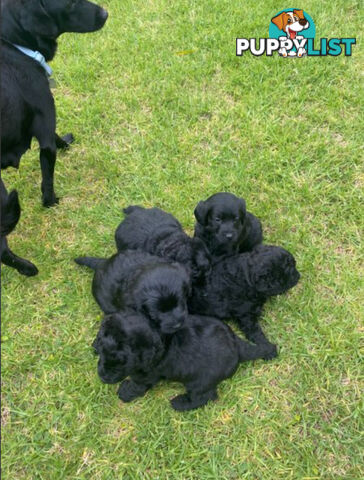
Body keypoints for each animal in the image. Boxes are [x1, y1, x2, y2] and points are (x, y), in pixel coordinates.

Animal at [0, 0, 108, 206]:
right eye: (70, 4)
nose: (105, 13)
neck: (15, 45)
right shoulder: (45, 128)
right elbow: (48, 176)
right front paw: (51, 202)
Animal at [94, 312, 272, 412]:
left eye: (123, 362)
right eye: (103, 352)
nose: (103, 377)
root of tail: (237, 347)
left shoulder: (147, 375)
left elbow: (136, 385)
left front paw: (124, 392)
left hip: (199, 382)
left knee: (205, 396)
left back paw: (180, 403)